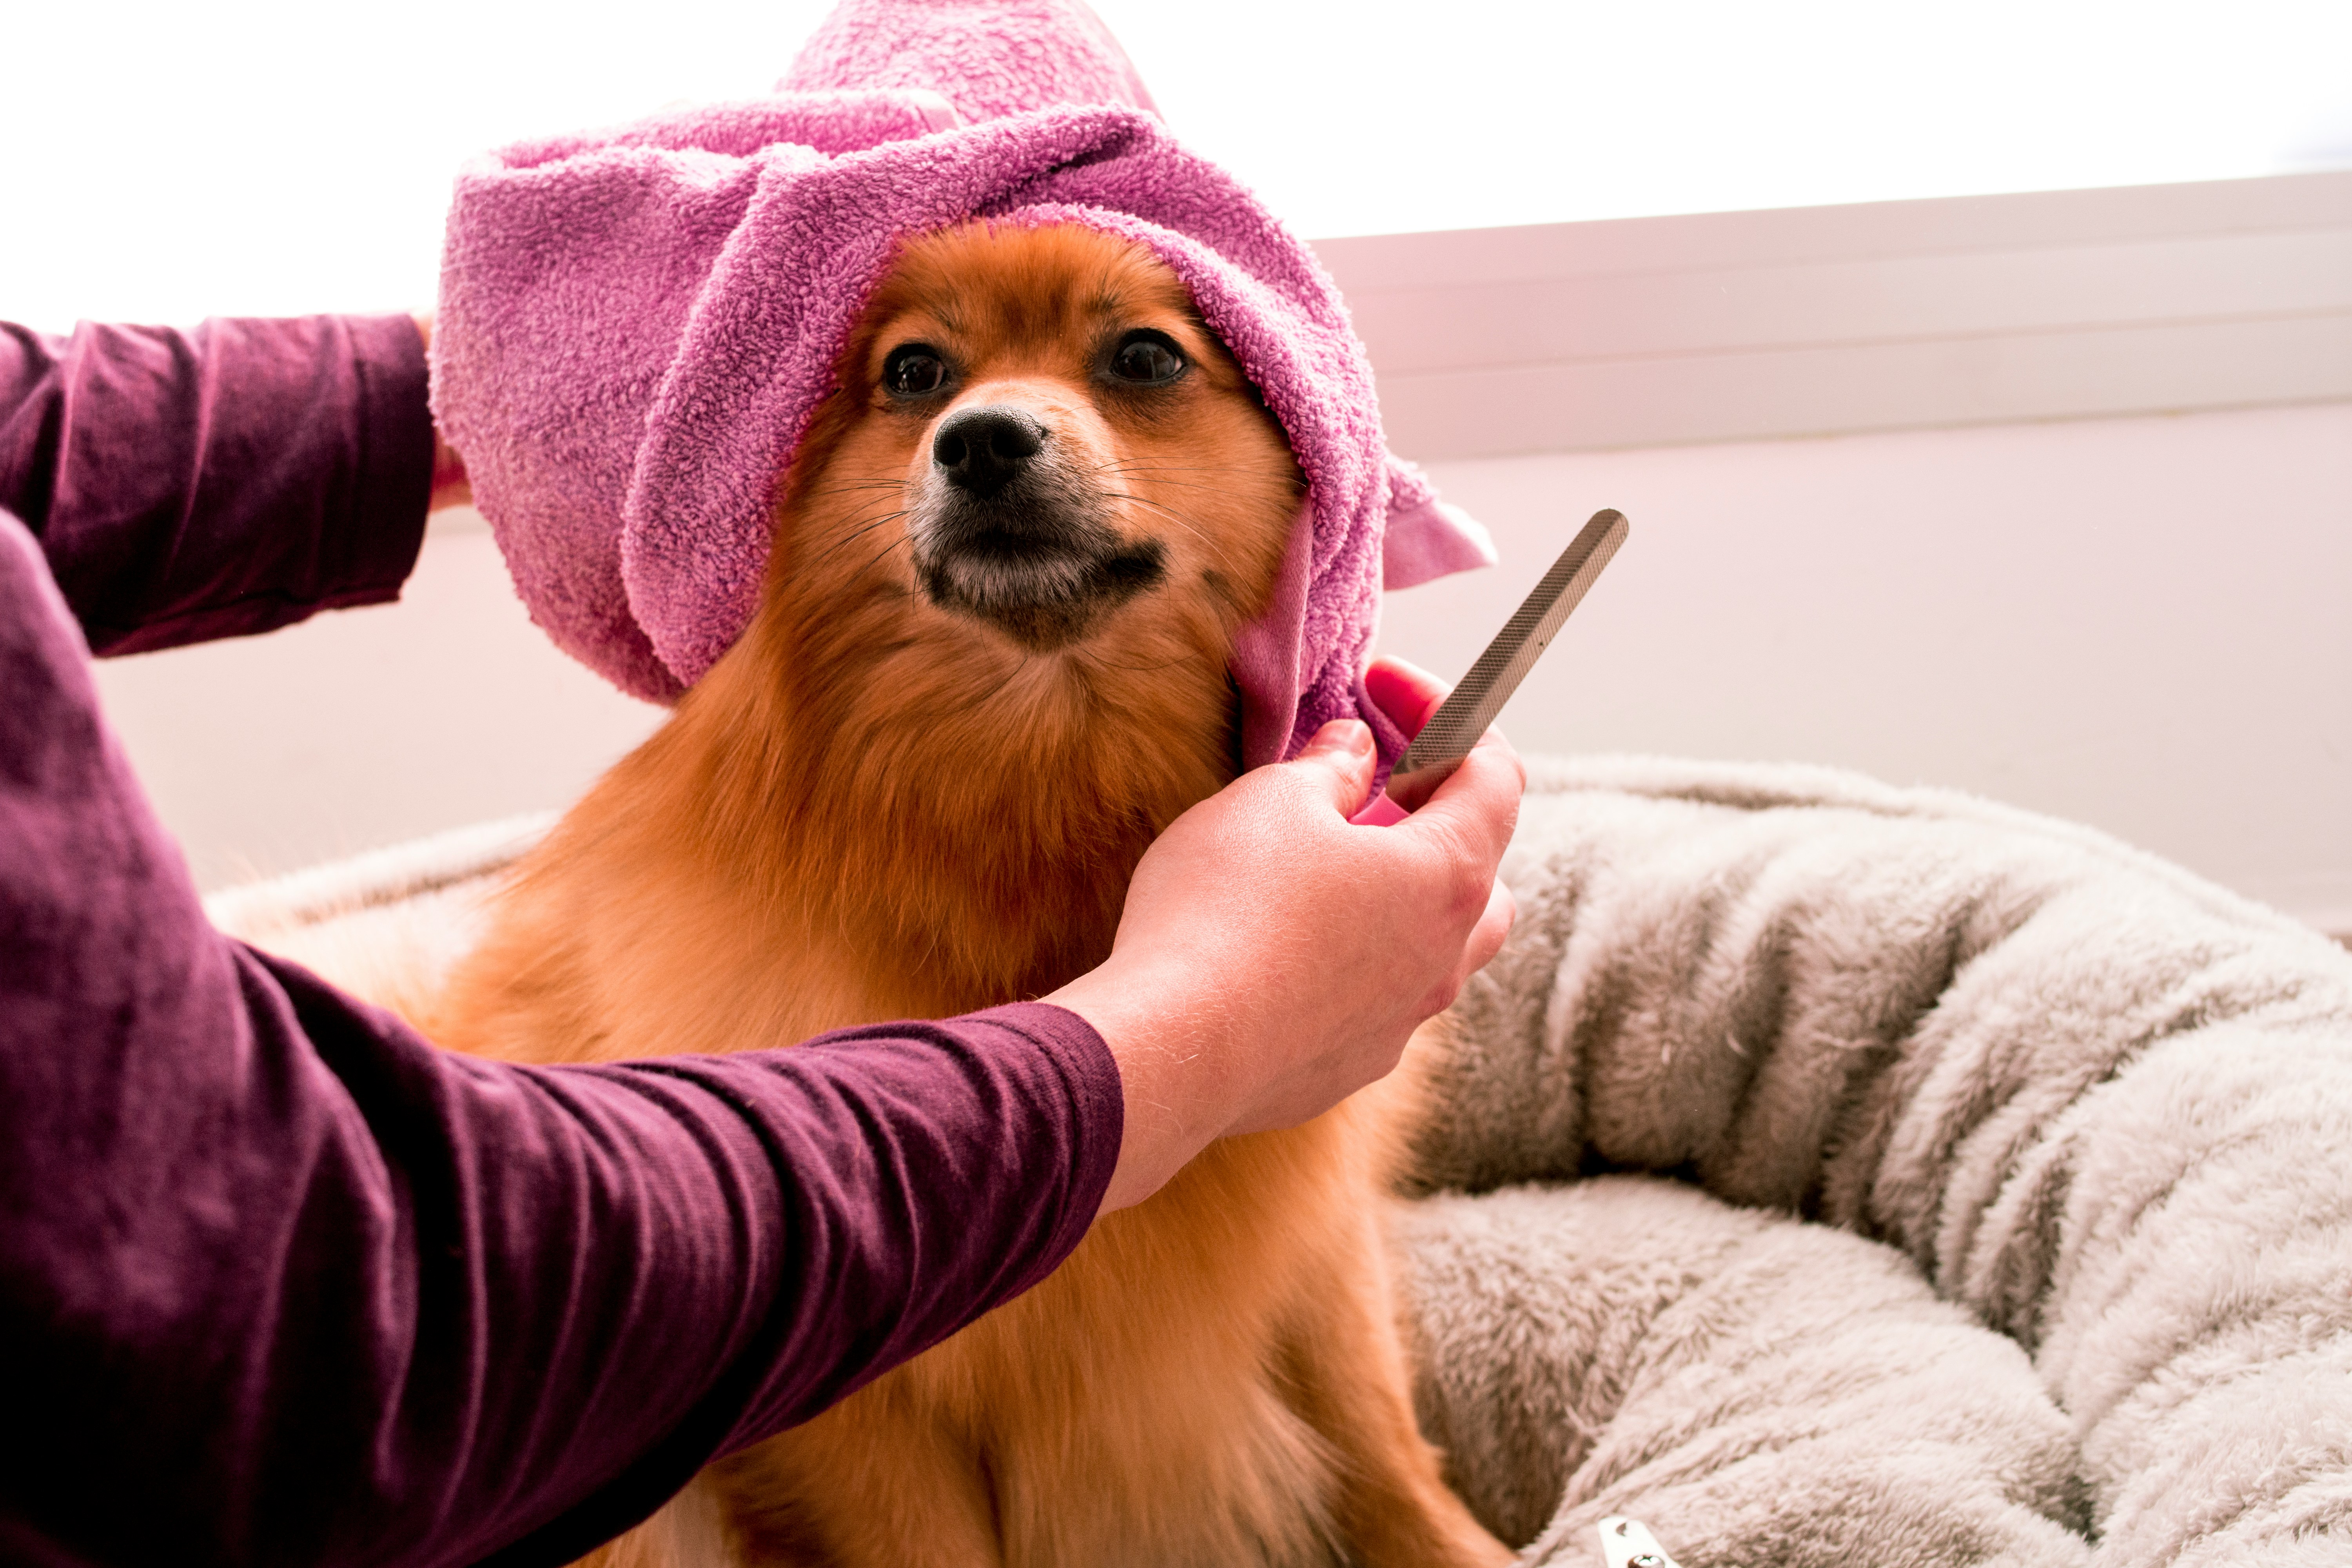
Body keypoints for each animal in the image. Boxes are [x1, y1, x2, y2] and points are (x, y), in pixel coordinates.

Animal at [421, 221, 1505, 1568]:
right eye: (913, 373)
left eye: (1145, 357)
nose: (981, 439)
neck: (1035, 793)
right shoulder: (858, 1416)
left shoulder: (1311, 1243)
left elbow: (1381, 1449)